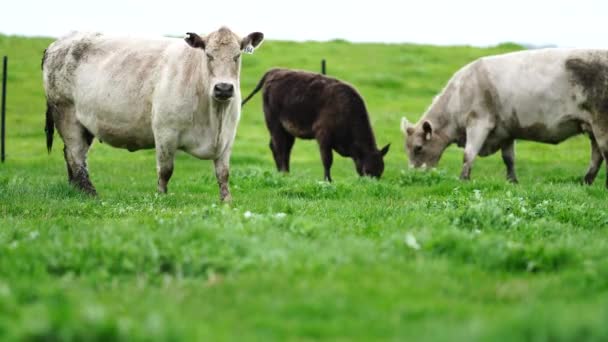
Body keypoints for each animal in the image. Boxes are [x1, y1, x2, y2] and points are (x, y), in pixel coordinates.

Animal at [40, 27, 264, 200]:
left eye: (237, 56)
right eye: (208, 55)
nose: (223, 88)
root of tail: (59, 43)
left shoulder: (227, 137)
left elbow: (223, 173)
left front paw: (226, 201)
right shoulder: (165, 132)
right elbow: (165, 170)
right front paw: (161, 198)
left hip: (84, 123)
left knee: (73, 155)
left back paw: (77, 190)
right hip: (66, 113)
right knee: (75, 155)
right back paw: (90, 193)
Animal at [241, 68, 390, 183]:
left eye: (381, 171)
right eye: (367, 170)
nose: (372, 183)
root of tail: (274, 71)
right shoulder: (323, 136)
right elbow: (327, 160)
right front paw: (328, 180)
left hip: (287, 130)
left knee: (283, 148)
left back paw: (285, 173)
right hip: (274, 124)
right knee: (279, 148)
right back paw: (283, 173)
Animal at [402, 48, 608, 187]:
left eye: (418, 148)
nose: (414, 176)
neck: (460, 93)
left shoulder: (478, 122)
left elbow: (469, 154)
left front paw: (463, 180)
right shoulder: (506, 130)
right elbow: (509, 159)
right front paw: (513, 182)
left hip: (601, 124)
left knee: (604, 152)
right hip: (591, 127)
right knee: (596, 156)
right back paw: (585, 182)